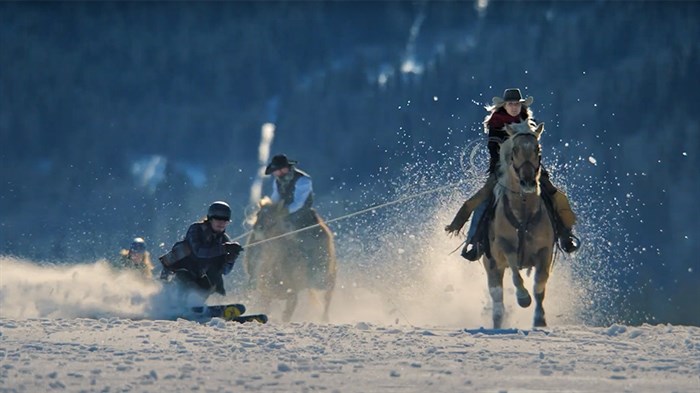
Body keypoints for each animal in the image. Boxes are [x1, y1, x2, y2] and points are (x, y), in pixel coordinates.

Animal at [484, 120, 556, 328]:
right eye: (514, 149)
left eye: (537, 149)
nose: (528, 182)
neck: (523, 210)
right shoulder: (505, 246)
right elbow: (516, 272)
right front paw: (523, 298)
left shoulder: (545, 251)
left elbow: (540, 283)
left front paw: (540, 320)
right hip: (491, 266)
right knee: (497, 295)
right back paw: (498, 321)